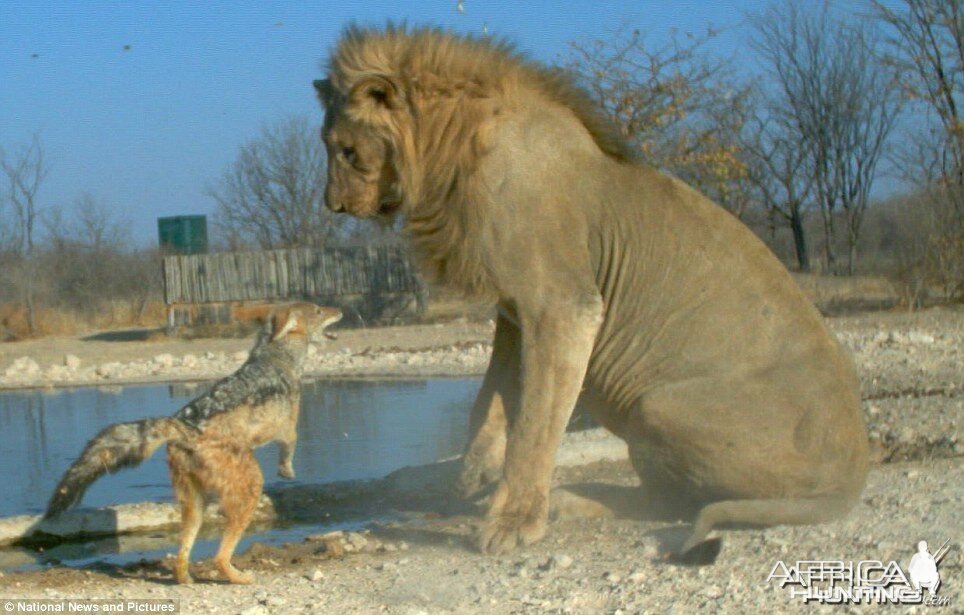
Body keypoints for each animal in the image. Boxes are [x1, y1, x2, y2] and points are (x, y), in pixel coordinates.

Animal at [312, 26, 868, 560]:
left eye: (346, 150)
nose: (333, 206)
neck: (449, 152)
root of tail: (852, 475)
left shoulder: (561, 305)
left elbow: (534, 425)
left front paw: (513, 522)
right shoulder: (514, 312)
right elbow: (490, 402)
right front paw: (470, 475)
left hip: (656, 406)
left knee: (670, 502)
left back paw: (569, 501)